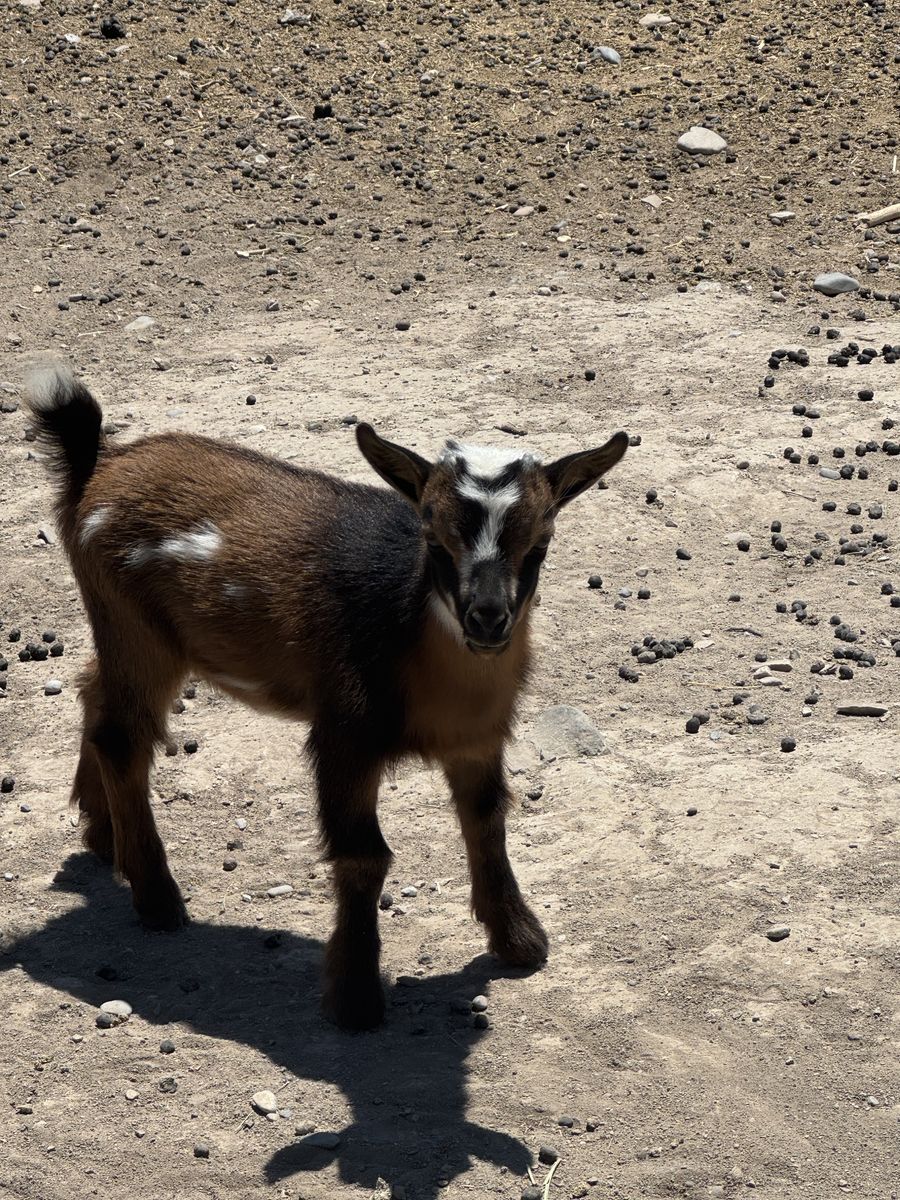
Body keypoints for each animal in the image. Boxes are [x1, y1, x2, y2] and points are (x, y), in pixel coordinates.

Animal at [27, 365, 628, 1030]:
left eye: (541, 543)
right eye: (434, 539)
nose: (488, 618)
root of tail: (95, 470)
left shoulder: (478, 740)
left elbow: (488, 820)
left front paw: (519, 941)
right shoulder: (345, 732)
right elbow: (365, 856)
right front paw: (355, 999)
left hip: (128, 637)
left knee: (94, 697)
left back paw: (103, 837)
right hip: (135, 629)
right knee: (124, 738)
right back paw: (158, 900)